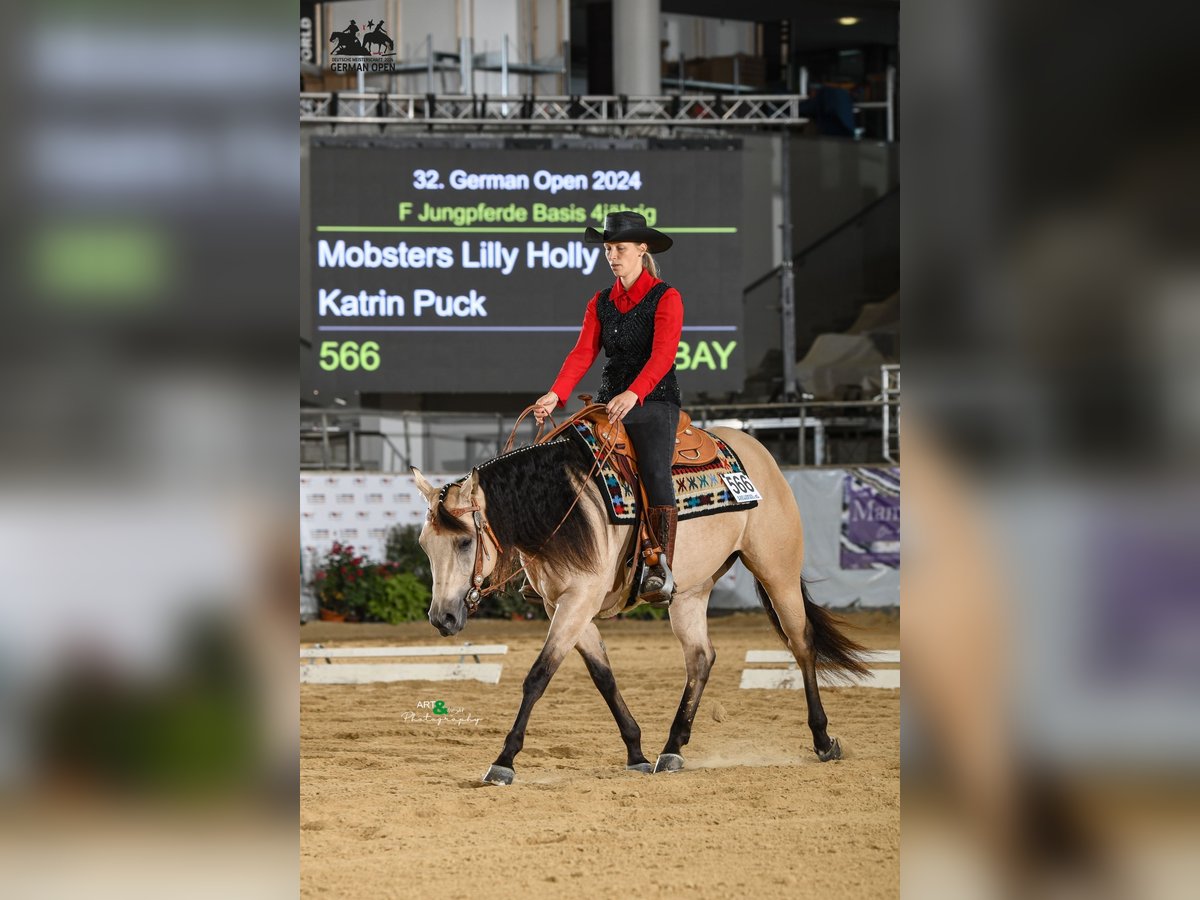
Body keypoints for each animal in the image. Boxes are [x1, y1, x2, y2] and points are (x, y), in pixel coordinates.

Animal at [410, 408, 864, 782]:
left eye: (465, 542)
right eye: (423, 545)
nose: (441, 618)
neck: (564, 506)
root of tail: (758, 453)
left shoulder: (578, 600)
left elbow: (538, 676)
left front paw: (504, 761)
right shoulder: (565, 604)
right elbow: (603, 676)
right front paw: (636, 751)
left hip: (777, 571)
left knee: (801, 643)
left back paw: (823, 741)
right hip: (690, 591)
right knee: (701, 657)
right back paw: (672, 749)